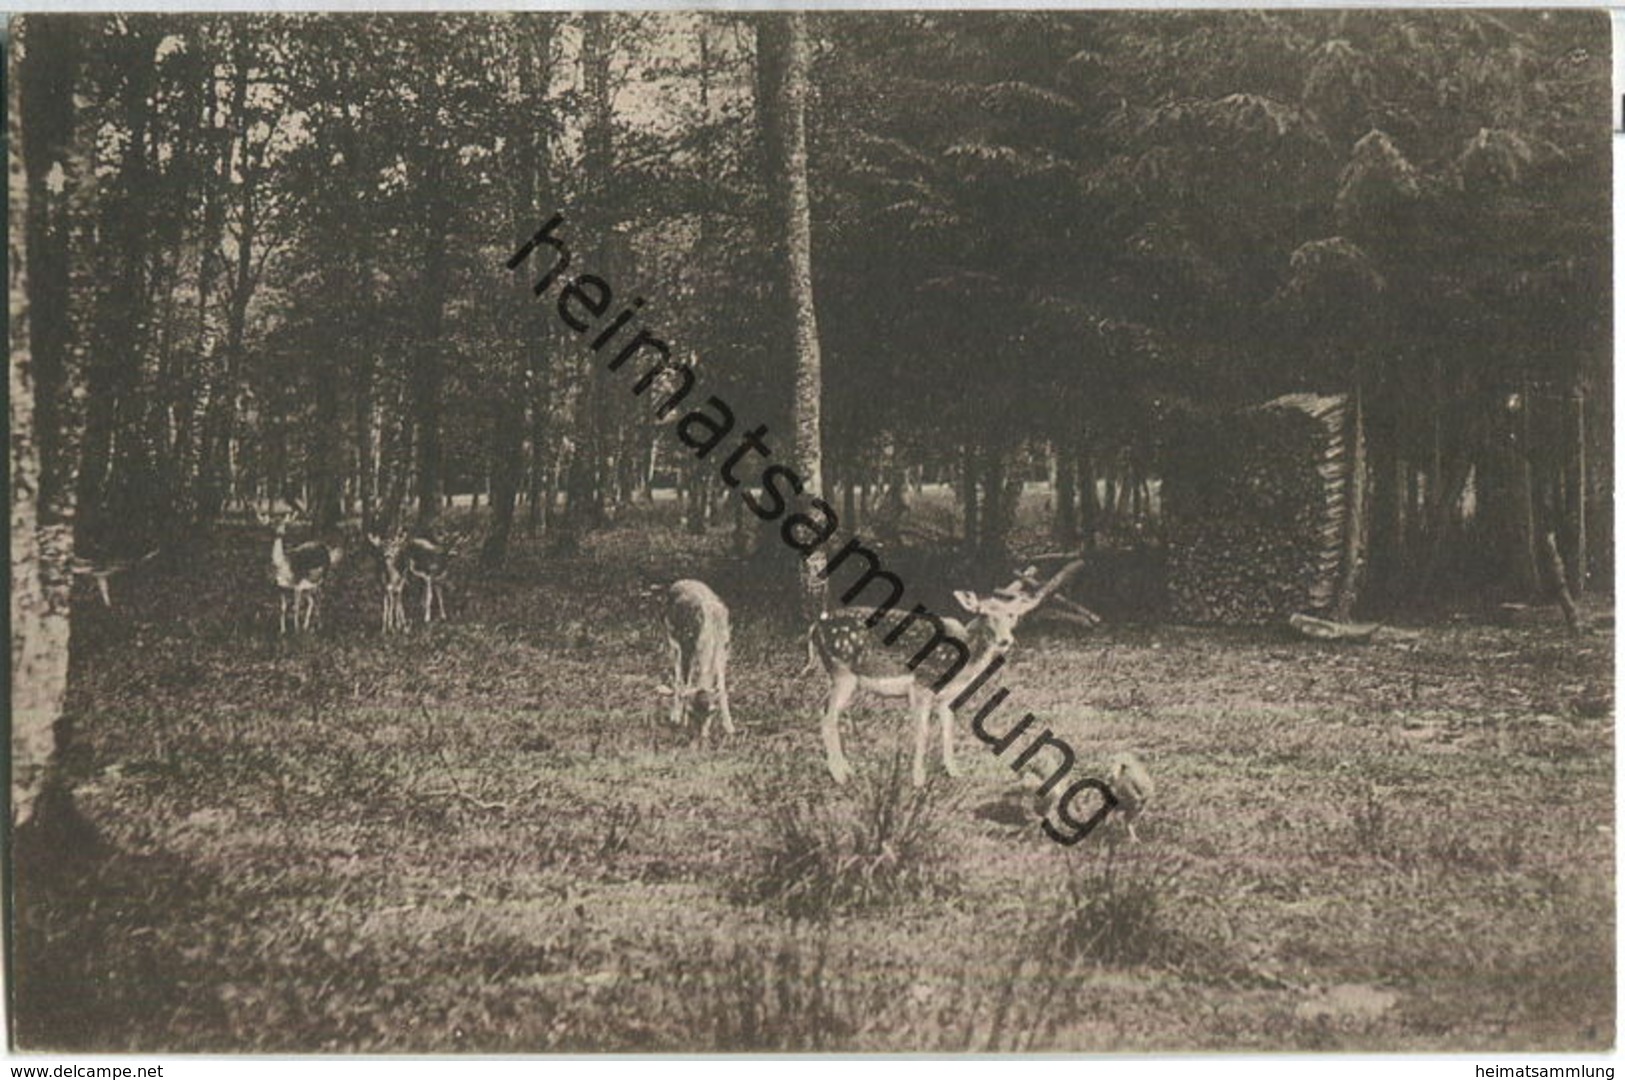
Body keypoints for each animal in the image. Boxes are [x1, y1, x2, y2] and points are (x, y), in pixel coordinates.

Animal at [656, 581, 741, 740]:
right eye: (691, 712)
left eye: (710, 713)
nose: (700, 737)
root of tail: (678, 582)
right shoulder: (687, 647)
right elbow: (686, 683)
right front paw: (681, 720)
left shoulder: (724, 650)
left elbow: (722, 686)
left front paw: (730, 727)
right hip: (672, 640)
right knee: (677, 676)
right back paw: (674, 715)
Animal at [799, 555, 1079, 782]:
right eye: (984, 613)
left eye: (1013, 615)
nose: (1004, 641)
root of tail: (815, 627)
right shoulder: (921, 684)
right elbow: (922, 732)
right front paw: (918, 780)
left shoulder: (949, 696)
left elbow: (947, 728)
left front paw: (954, 772)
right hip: (842, 671)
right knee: (827, 714)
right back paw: (840, 775)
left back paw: (845, 770)